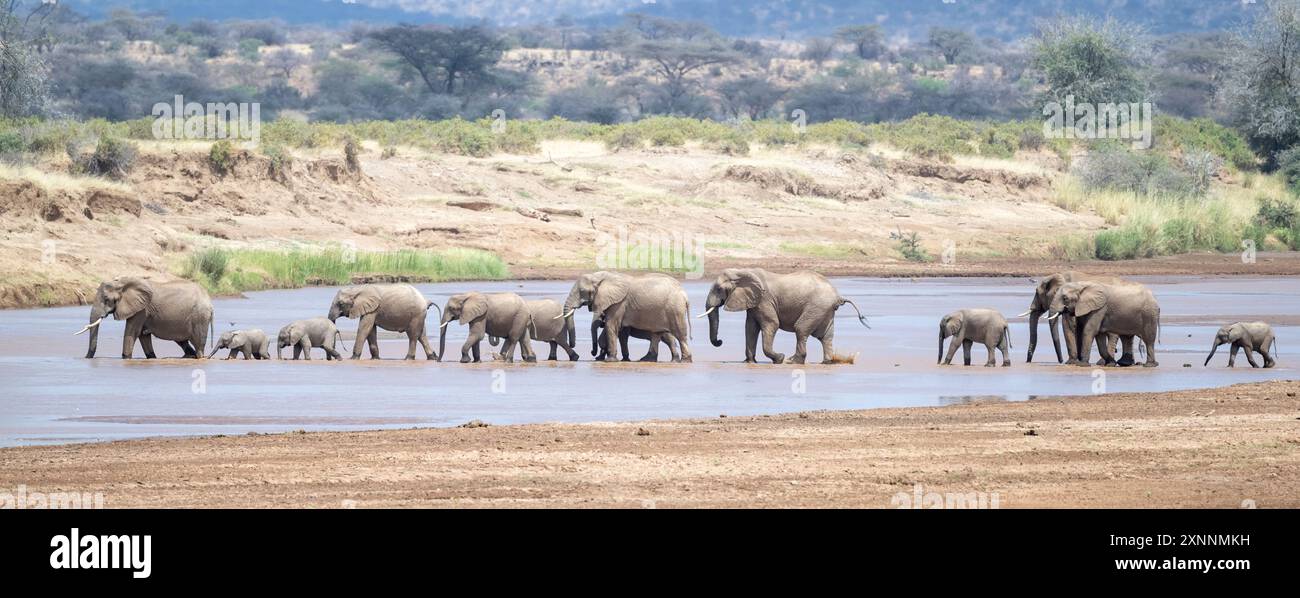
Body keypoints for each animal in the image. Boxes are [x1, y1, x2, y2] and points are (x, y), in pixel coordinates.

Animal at [77, 276, 211, 358]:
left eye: (106, 299)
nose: (86, 358)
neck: (122, 282)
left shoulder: (141, 309)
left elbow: (132, 331)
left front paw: (126, 358)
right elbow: (143, 334)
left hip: (200, 317)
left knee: (198, 344)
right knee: (182, 341)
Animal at [564, 271, 696, 364]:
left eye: (582, 291)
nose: (592, 352)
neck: (600, 276)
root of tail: (685, 295)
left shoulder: (619, 304)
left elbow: (611, 326)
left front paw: (610, 361)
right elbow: (618, 332)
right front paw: (621, 359)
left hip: (674, 309)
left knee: (679, 334)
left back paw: (684, 361)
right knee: (656, 333)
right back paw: (647, 360)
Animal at [696, 267, 868, 361]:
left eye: (719, 289)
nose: (720, 341)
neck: (743, 271)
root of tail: (838, 296)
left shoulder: (764, 299)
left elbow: (771, 324)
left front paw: (779, 358)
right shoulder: (754, 302)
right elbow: (750, 328)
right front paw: (749, 362)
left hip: (817, 306)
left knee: (801, 329)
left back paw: (792, 361)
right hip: (824, 310)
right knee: (825, 336)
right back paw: (827, 362)